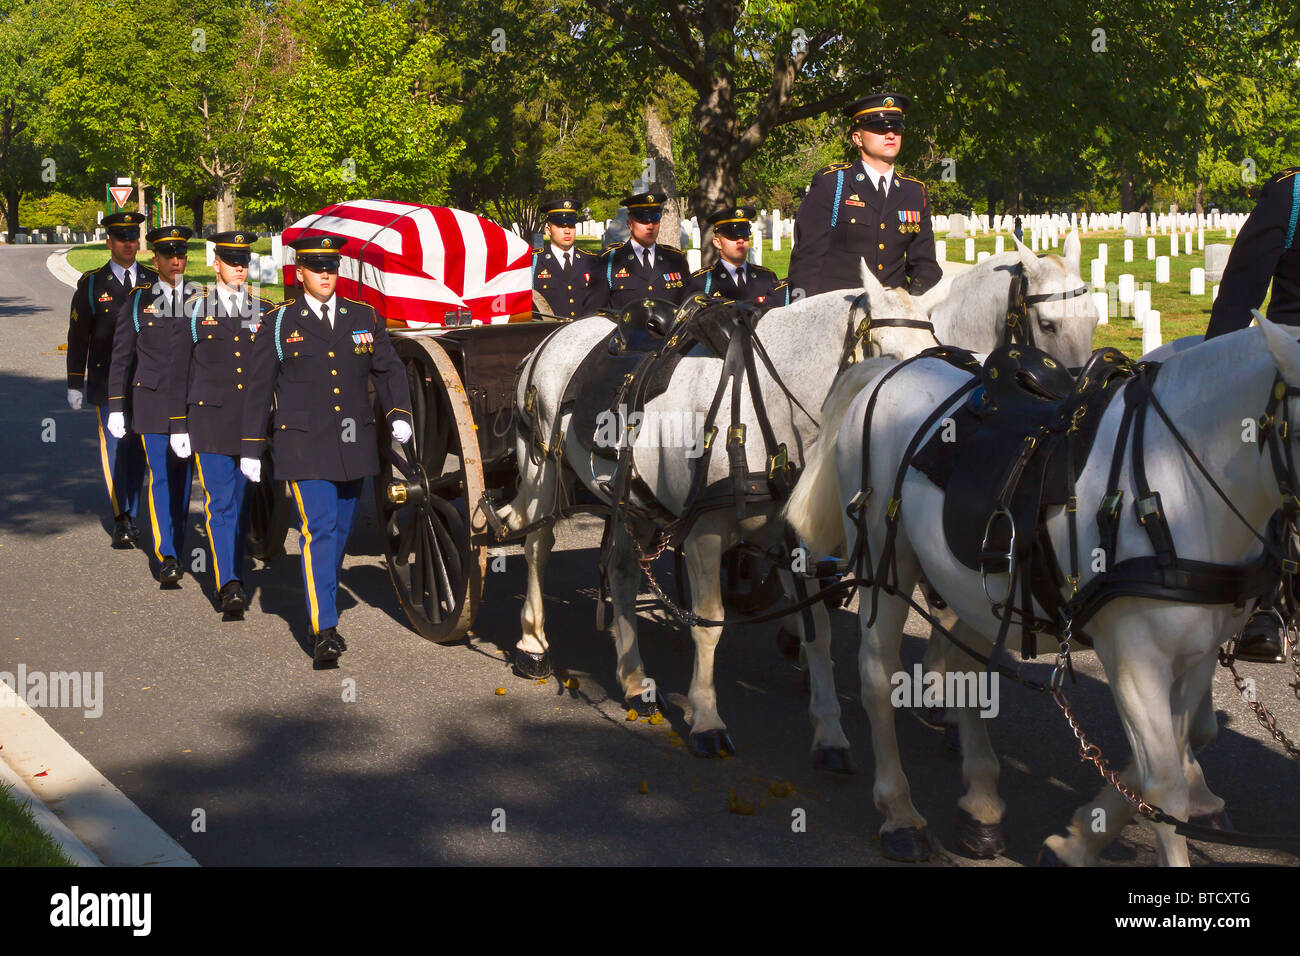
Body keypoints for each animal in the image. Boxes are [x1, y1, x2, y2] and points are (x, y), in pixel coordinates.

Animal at [780, 317, 1300, 863]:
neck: (1177, 478)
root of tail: (892, 367)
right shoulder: (1134, 658)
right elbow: (1162, 785)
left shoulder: (1197, 653)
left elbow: (1184, 745)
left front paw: (1076, 843)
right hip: (887, 559)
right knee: (878, 674)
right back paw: (898, 811)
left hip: (972, 584)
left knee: (966, 668)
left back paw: (981, 804)